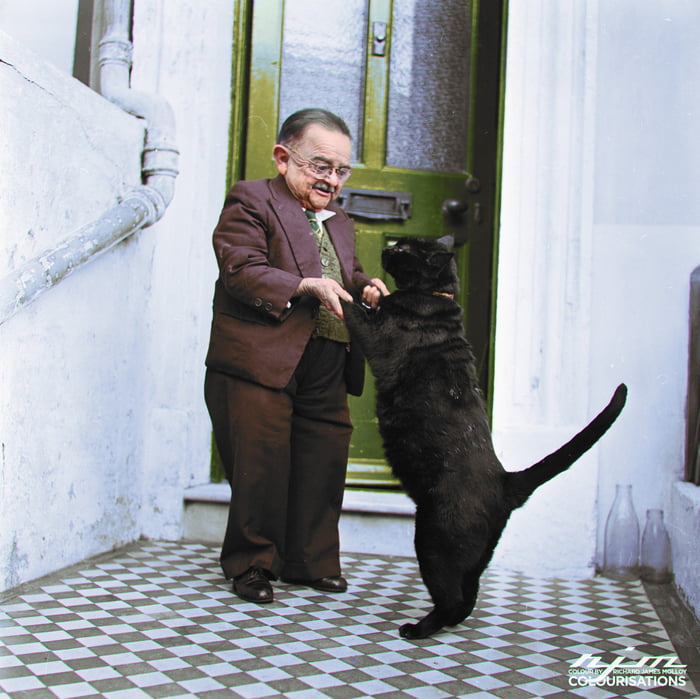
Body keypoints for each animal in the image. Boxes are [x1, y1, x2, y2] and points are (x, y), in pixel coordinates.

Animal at [342, 235, 628, 640]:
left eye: (405, 250)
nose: (388, 247)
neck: (435, 295)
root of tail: (505, 480)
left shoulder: (375, 334)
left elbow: (348, 304)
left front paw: (331, 283)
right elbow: (364, 300)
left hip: (431, 539)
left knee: (450, 598)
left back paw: (417, 629)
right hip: (472, 555)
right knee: (469, 595)